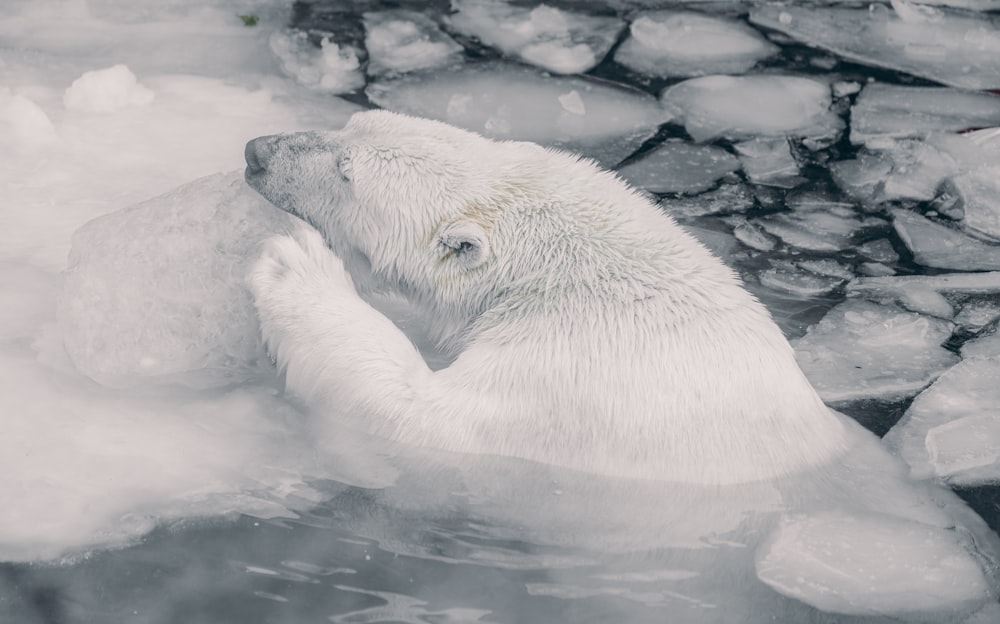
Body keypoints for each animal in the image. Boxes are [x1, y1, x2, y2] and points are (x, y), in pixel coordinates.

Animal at [244, 109, 1000, 616]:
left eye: (346, 172)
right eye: (347, 123)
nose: (256, 149)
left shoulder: (571, 377)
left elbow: (419, 420)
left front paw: (296, 265)